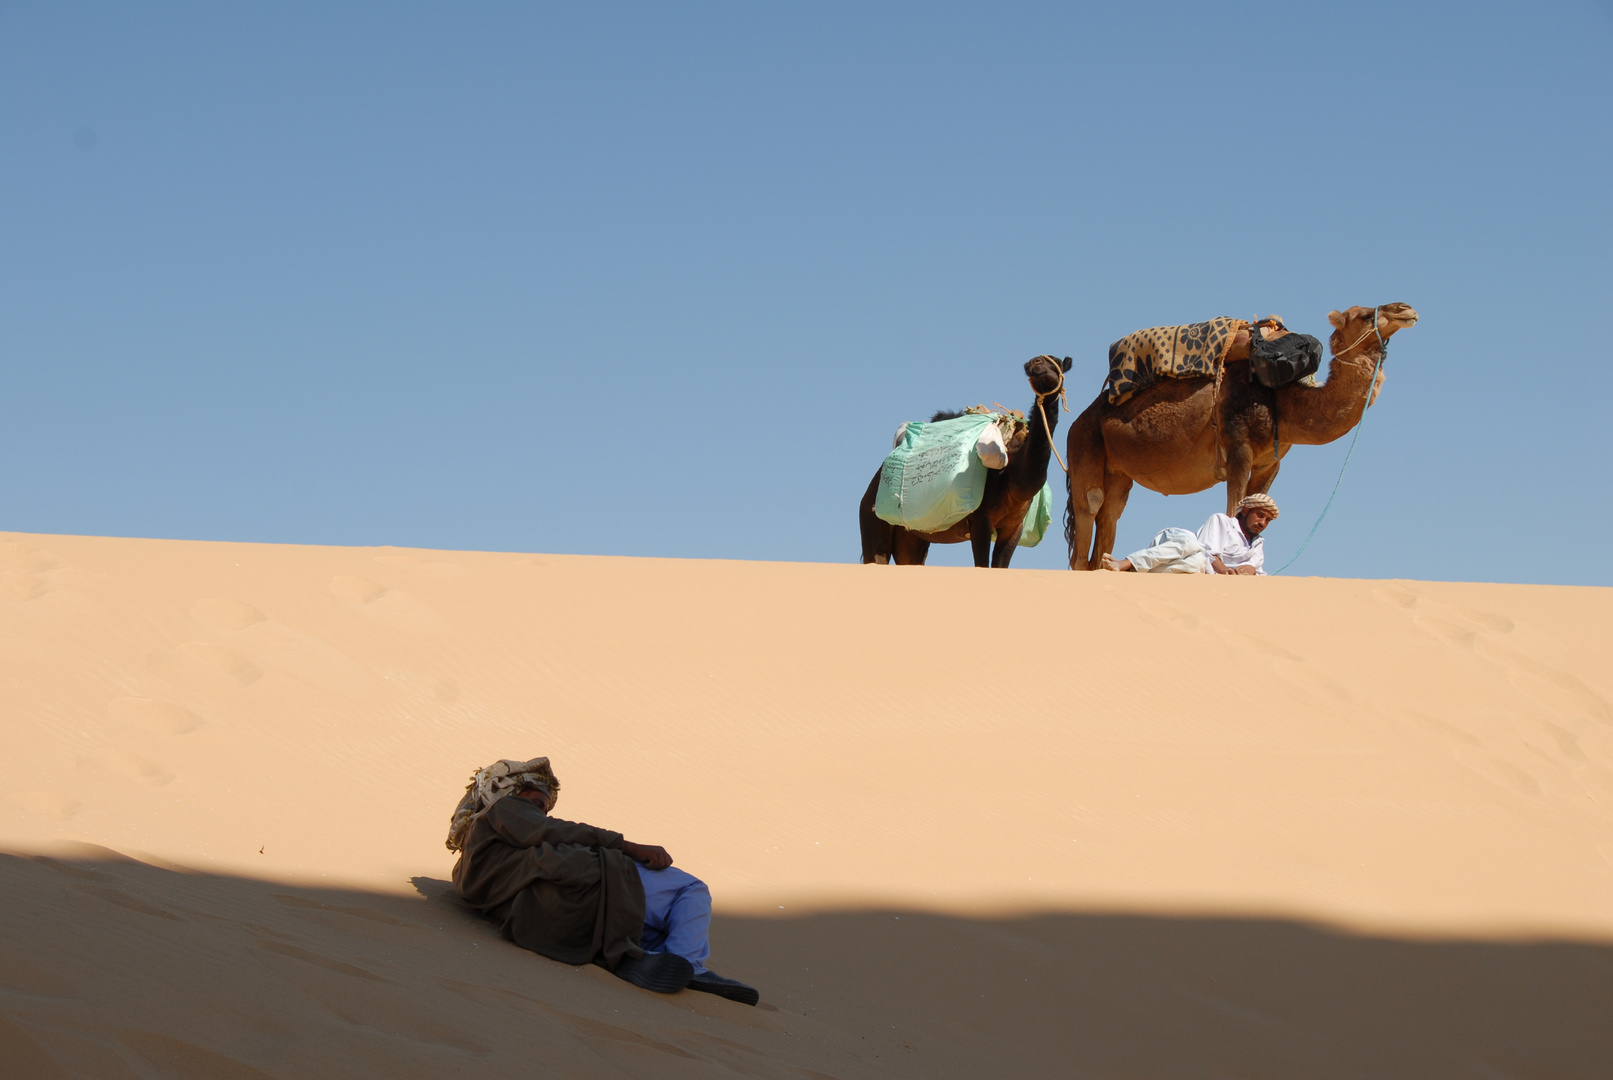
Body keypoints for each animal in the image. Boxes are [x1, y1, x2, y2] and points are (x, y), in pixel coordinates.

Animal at [864, 359, 1077, 570]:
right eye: (1036, 361)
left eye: (1056, 363)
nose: (1036, 365)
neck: (1014, 475)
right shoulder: (981, 519)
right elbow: (981, 564)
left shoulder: (1014, 527)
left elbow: (1000, 566)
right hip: (872, 517)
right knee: (874, 556)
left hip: (910, 537)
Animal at [1064, 304, 1419, 570]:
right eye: (1363, 315)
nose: (1405, 309)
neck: (1283, 401)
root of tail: (1081, 418)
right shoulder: (1238, 449)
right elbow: (1232, 507)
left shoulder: (1269, 464)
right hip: (1084, 442)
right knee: (1090, 509)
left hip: (1118, 472)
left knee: (1109, 515)